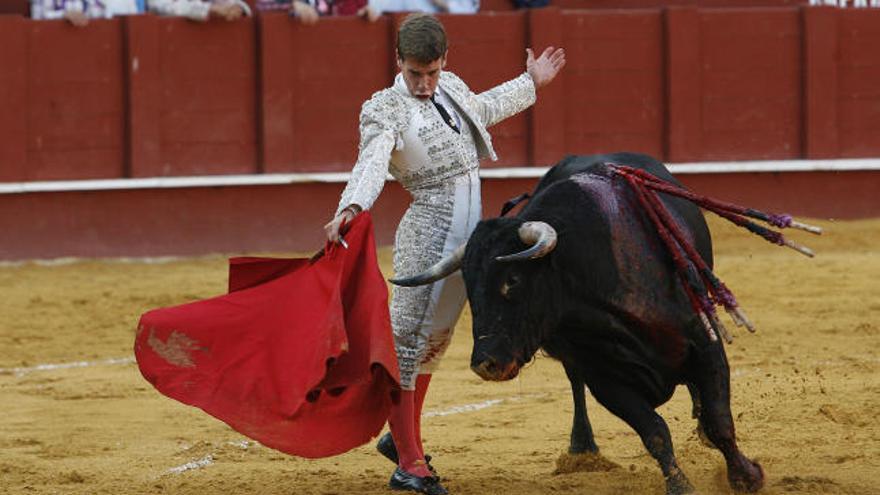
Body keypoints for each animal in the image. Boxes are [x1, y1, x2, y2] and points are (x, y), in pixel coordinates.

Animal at [396, 153, 768, 494]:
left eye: (512, 280)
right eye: (469, 288)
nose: (485, 364)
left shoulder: (706, 345)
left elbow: (719, 420)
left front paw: (746, 476)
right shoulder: (604, 379)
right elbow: (654, 432)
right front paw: (680, 486)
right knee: (576, 385)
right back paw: (582, 449)